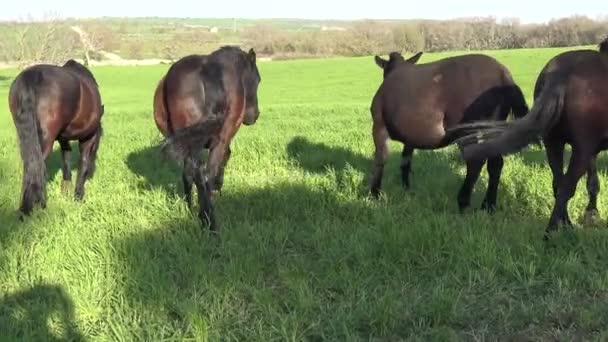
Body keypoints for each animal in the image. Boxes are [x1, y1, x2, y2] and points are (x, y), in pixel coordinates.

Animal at [8, 57, 104, 215]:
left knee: (30, 165)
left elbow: (65, 160)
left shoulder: (63, 139)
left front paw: (66, 190)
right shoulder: (88, 137)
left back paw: (25, 208)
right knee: (37, 165)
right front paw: (78, 196)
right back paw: (36, 206)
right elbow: (83, 162)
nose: (93, 173)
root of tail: (31, 76)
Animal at [154, 46, 262, 232]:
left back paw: (193, 211)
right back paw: (210, 222)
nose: (254, 115)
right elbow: (224, 161)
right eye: (258, 80)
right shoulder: (224, 141)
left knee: (192, 174)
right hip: (216, 142)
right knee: (206, 175)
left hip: (189, 144)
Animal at [370, 51, 528, 211]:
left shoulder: (378, 125)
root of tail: (504, 74)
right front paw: (406, 189)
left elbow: (380, 158)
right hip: (493, 126)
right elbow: (405, 160)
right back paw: (488, 206)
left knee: (475, 162)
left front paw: (375, 193)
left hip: (467, 128)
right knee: (495, 163)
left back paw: (463, 202)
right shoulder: (410, 135)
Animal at [454, 37, 608, 235]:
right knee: (566, 186)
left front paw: (592, 213)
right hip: (579, 147)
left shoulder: (592, 149)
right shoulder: (589, 147)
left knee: (559, 184)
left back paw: (564, 225)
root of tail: (563, 74)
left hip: (554, 143)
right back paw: (552, 233)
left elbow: (593, 182)